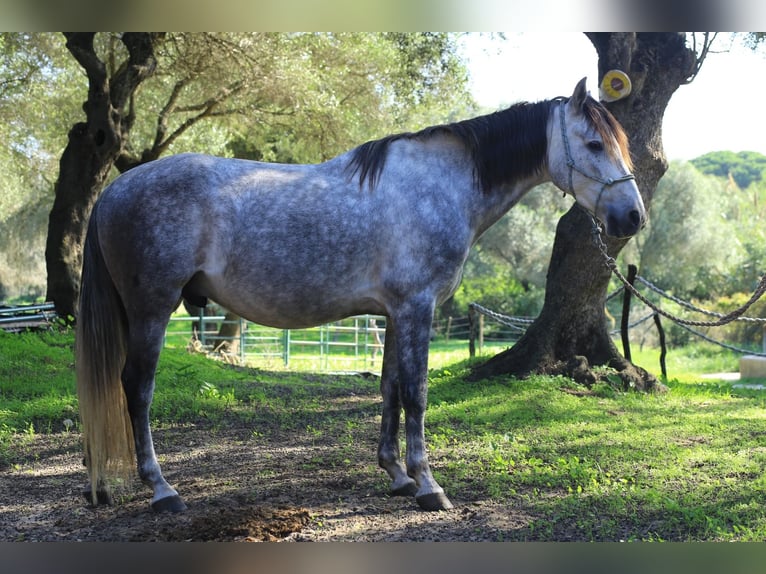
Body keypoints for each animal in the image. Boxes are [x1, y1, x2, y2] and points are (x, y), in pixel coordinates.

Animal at [76, 79, 640, 516]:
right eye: (594, 144)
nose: (632, 217)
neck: (443, 184)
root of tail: (112, 191)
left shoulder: (392, 313)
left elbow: (389, 389)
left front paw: (397, 476)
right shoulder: (417, 308)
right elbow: (416, 393)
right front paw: (429, 485)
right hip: (151, 309)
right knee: (136, 388)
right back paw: (162, 490)